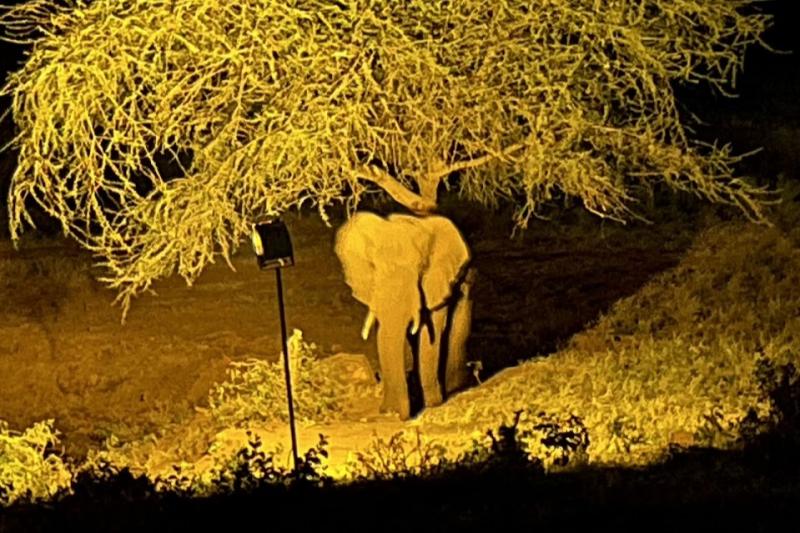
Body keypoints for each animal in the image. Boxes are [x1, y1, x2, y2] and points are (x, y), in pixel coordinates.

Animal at [332, 210, 476, 418]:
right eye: (374, 267)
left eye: (421, 268)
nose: (392, 413)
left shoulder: (437, 283)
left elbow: (430, 334)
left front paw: (432, 404)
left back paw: (456, 389)